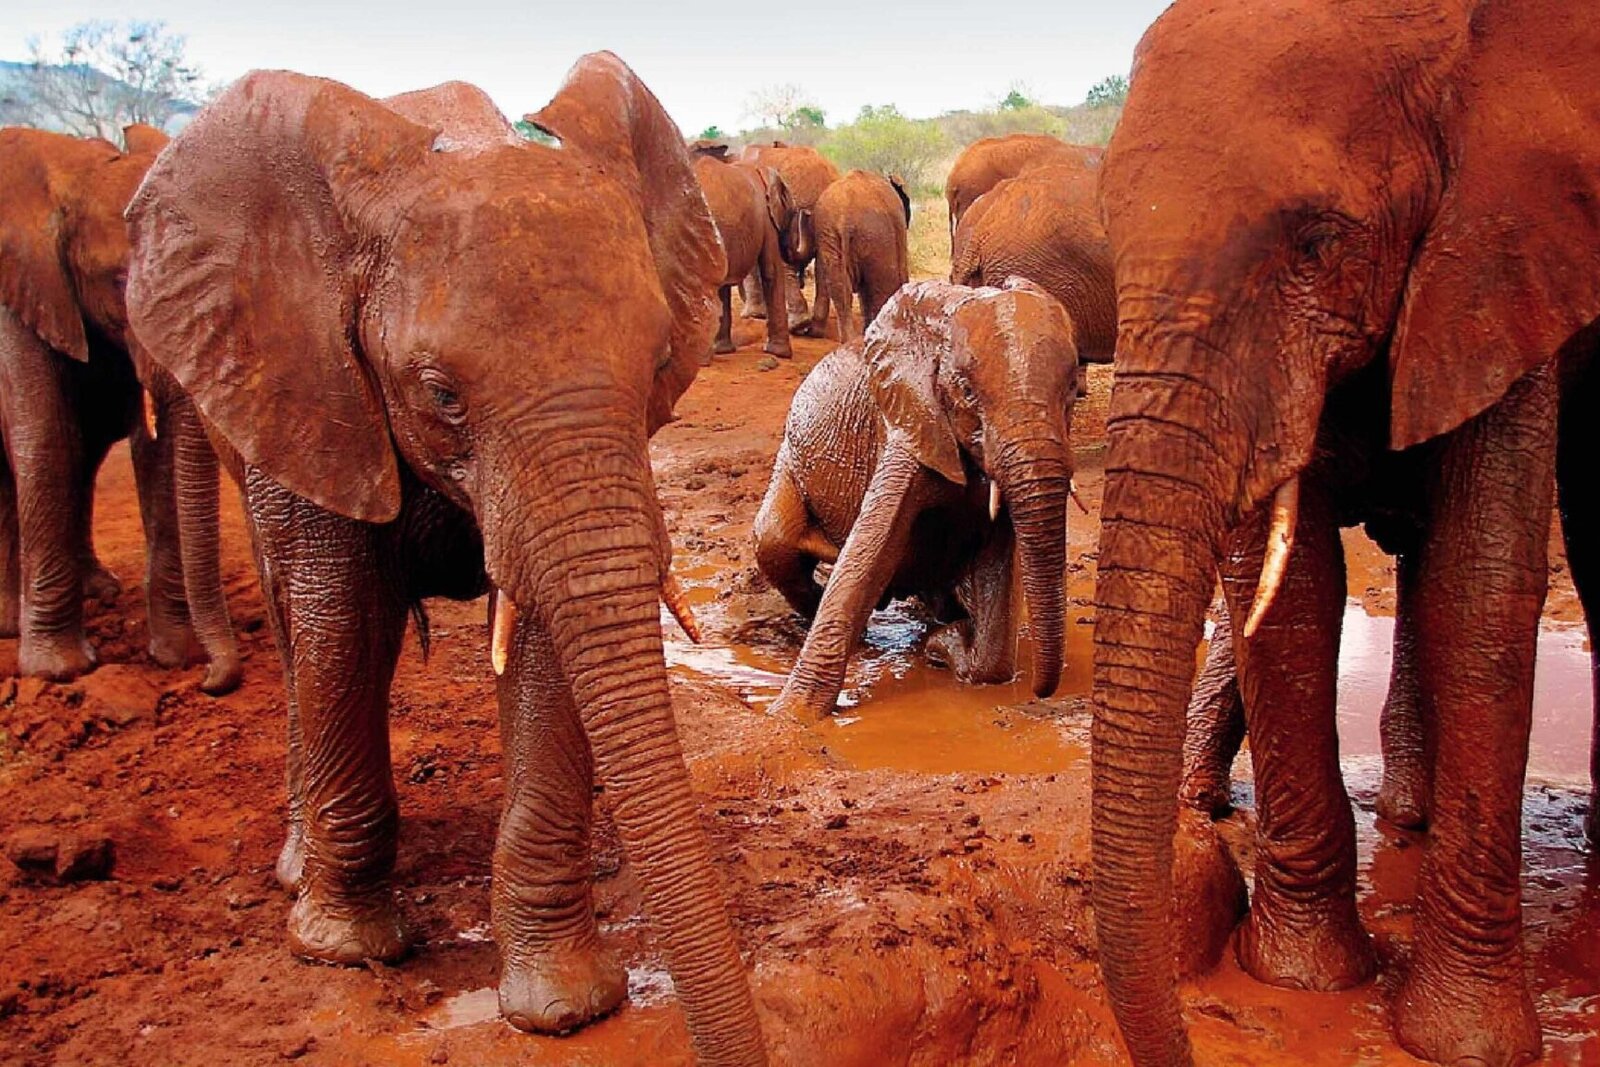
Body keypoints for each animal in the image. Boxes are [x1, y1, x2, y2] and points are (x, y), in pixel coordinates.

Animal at [0, 123, 240, 692]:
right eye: (118, 282)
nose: (211, 679)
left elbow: (159, 456)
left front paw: (177, 656)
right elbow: (43, 437)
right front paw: (60, 671)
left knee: (85, 455)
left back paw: (99, 591)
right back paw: (8, 625)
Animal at [123, 58, 768, 1066]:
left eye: (660, 359)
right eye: (440, 394)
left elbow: (543, 633)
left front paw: (562, 1005)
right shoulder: (312, 380)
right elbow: (344, 614)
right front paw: (345, 949)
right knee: (297, 624)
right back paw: (300, 869)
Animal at [755, 278, 1077, 721]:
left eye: (1074, 391)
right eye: (966, 392)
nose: (1042, 693)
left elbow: (998, 566)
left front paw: (944, 646)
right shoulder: (908, 423)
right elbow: (869, 553)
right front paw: (791, 716)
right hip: (789, 459)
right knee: (774, 543)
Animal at [1090, 2, 1600, 1065]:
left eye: (1318, 240)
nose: (1187, 1037)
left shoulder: (1504, 250)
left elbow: (1480, 586)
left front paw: (1462, 1041)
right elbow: (1292, 593)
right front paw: (1303, 977)